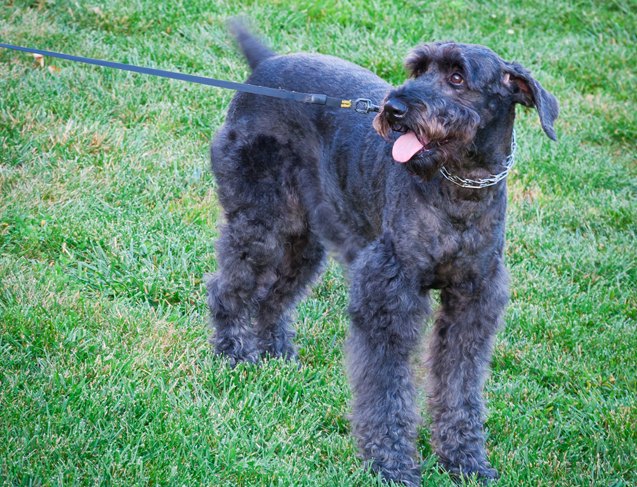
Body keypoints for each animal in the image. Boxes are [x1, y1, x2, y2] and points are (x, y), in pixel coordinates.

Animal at [207, 21, 556, 487]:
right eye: (418, 68)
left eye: (457, 76)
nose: (394, 109)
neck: (460, 188)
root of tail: (264, 65)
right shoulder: (390, 291)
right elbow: (386, 386)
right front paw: (391, 464)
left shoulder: (473, 300)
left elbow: (460, 385)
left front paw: (465, 461)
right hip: (261, 220)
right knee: (230, 284)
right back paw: (233, 353)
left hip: (305, 236)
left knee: (275, 294)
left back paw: (277, 355)